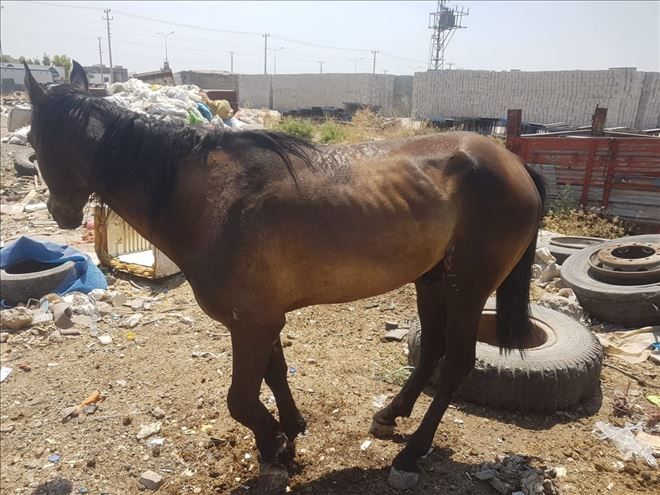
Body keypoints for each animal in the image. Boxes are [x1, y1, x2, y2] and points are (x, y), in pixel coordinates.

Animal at [24, 61, 545, 492]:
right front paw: (287, 434)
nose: (59, 212)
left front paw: (274, 442)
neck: (209, 201)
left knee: (456, 363)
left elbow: (239, 399)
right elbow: (273, 375)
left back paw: (411, 455)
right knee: (432, 349)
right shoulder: (261, 319)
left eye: (32, 142)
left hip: (469, 287)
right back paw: (389, 416)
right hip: (432, 279)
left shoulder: (251, 323)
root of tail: (514, 163)